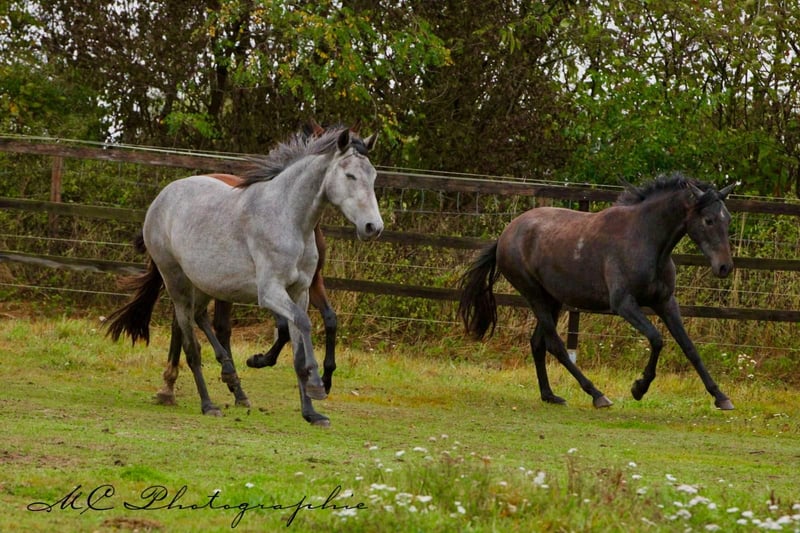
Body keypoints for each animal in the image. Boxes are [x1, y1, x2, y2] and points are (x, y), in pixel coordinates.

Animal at [106, 125, 383, 426]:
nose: (373, 227)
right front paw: (317, 385)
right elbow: (302, 324)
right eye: (350, 175)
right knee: (191, 345)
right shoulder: (270, 292)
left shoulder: (301, 291)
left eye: (373, 176)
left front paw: (311, 412)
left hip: (205, 282)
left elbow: (299, 344)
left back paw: (224, 379)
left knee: (197, 318)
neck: (287, 218)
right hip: (177, 281)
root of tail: (162, 198)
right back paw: (207, 403)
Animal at [458, 173, 737, 410]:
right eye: (708, 220)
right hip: (535, 297)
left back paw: (550, 396)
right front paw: (639, 388)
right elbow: (657, 339)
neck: (645, 239)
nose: (724, 267)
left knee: (538, 343)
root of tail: (505, 234)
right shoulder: (624, 304)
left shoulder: (666, 303)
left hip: (553, 300)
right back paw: (597, 394)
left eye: (727, 219)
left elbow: (689, 348)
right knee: (556, 346)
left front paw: (721, 397)